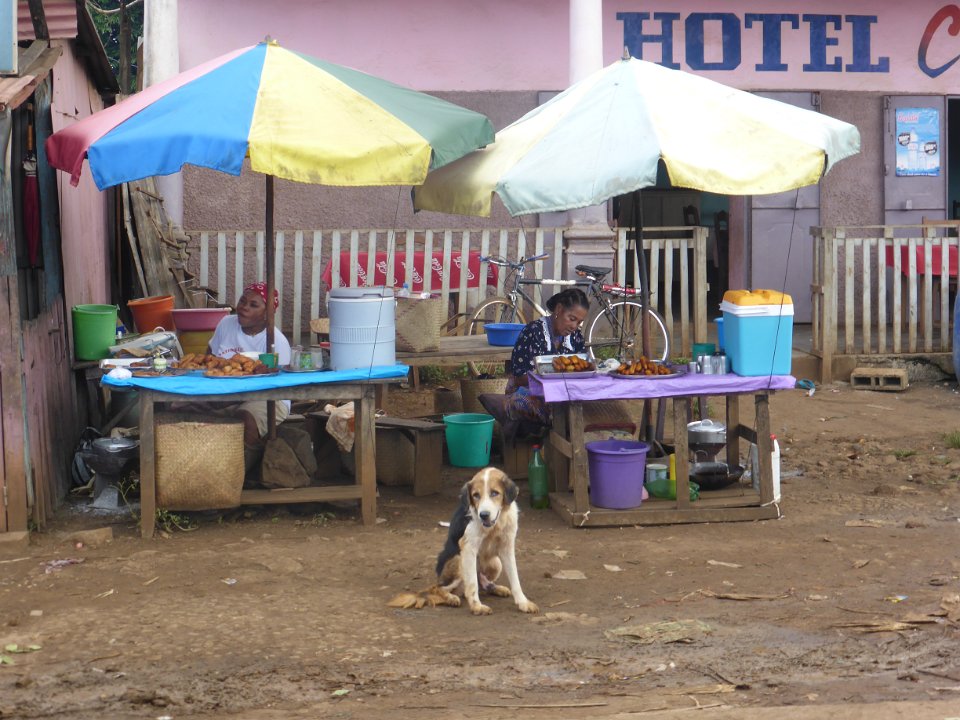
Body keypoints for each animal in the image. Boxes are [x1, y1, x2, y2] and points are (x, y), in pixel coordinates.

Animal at [388, 467, 539, 615]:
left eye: (495, 493)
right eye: (476, 495)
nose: (483, 515)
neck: (494, 526)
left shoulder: (507, 547)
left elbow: (515, 580)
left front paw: (523, 603)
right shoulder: (468, 547)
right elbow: (472, 584)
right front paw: (477, 607)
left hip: (496, 564)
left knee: (481, 582)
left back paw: (495, 588)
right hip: (458, 560)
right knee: (439, 587)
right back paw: (451, 598)